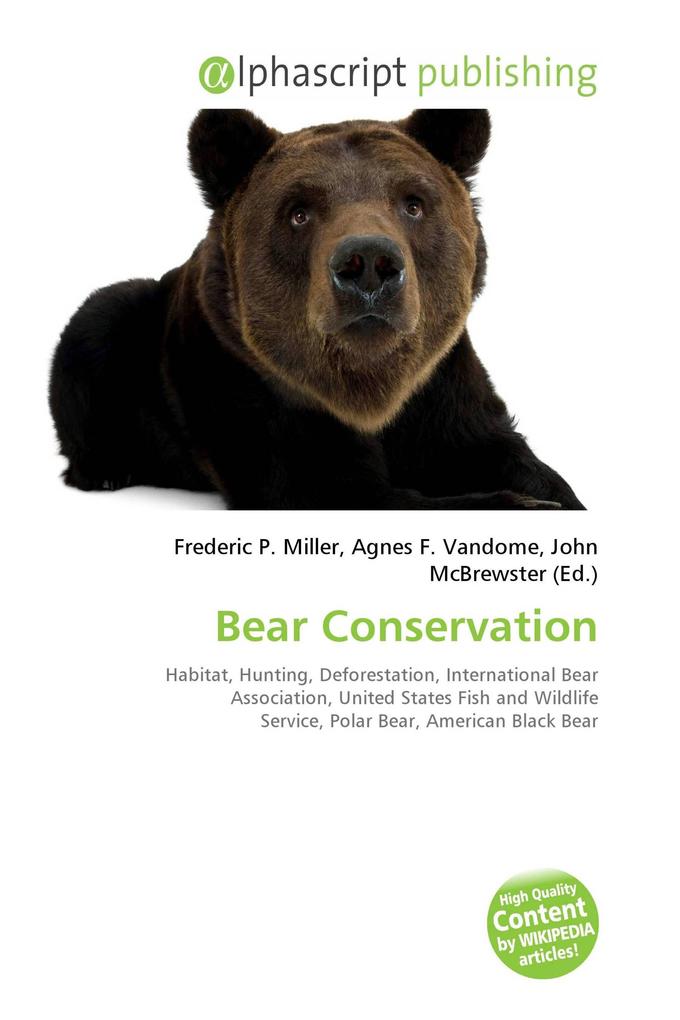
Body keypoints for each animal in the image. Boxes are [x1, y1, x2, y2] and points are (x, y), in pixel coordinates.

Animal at [49, 108, 584, 510]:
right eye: (299, 212)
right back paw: (106, 470)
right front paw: (520, 504)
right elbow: (336, 486)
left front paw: (553, 495)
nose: (367, 263)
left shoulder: (440, 383)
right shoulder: (253, 385)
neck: (370, 388)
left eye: (413, 203)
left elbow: (495, 447)